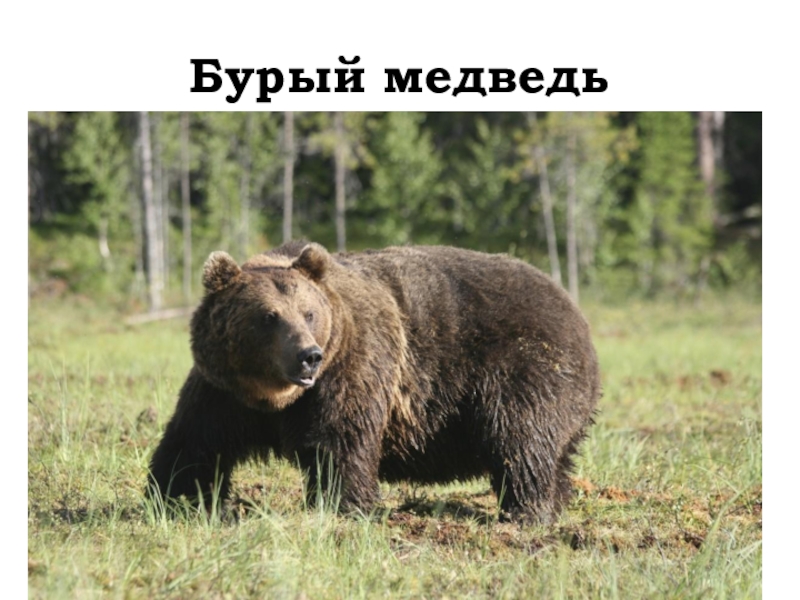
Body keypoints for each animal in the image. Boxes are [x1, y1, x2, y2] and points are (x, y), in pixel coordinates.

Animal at [148, 241, 600, 523]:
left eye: (309, 312)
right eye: (268, 316)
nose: (308, 356)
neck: (273, 396)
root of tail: (576, 312)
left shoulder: (352, 365)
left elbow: (340, 439)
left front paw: (344, 504)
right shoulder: (223, 391)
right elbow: (195, 441)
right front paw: (173, 496)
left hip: (522, 365)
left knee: (520, 438)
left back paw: (526, 511)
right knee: (555, 453)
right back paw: (554, 500)